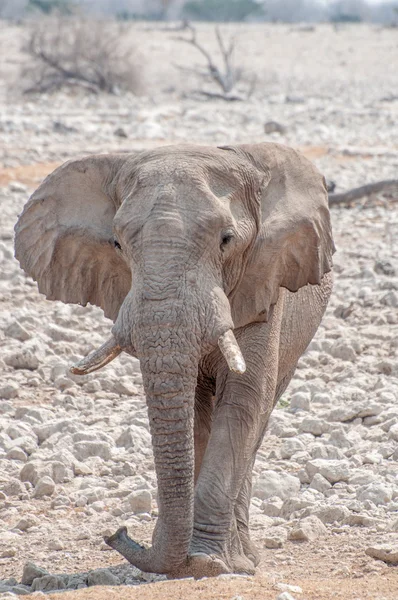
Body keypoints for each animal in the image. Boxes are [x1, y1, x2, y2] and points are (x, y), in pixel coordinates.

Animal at [14, 143, 334, 580]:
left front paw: (207, 564)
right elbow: (197, 410)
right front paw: (194, 562)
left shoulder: (265, 284)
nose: (117, 532)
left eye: (226, 240)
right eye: (117, 244)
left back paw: (242, 560)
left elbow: (245, 399)